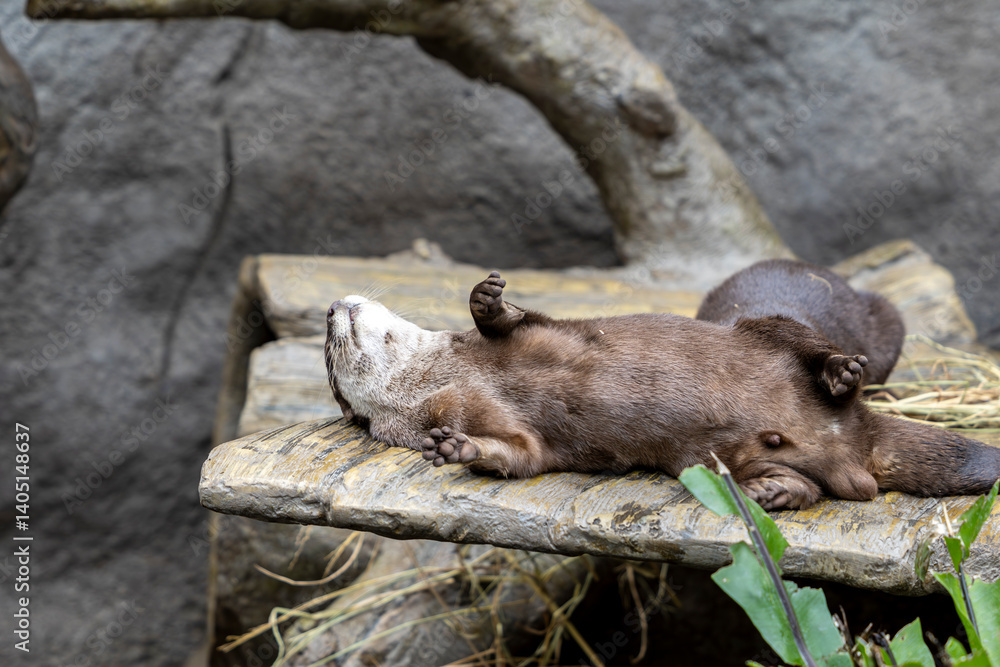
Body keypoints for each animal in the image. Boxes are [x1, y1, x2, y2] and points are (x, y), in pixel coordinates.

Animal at [325, 272, 1000, 510]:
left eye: (329, 343)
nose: (332, 307)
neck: (449, 376)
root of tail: (853, 433)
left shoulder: (538, 334)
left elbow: (513, 321)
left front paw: (487, 298)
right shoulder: (508, 430)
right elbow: (520, 455)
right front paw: (460, 450)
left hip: (770, 330)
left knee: (810, 348)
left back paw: (839, 375)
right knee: (834, 490)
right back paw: (776, 491)